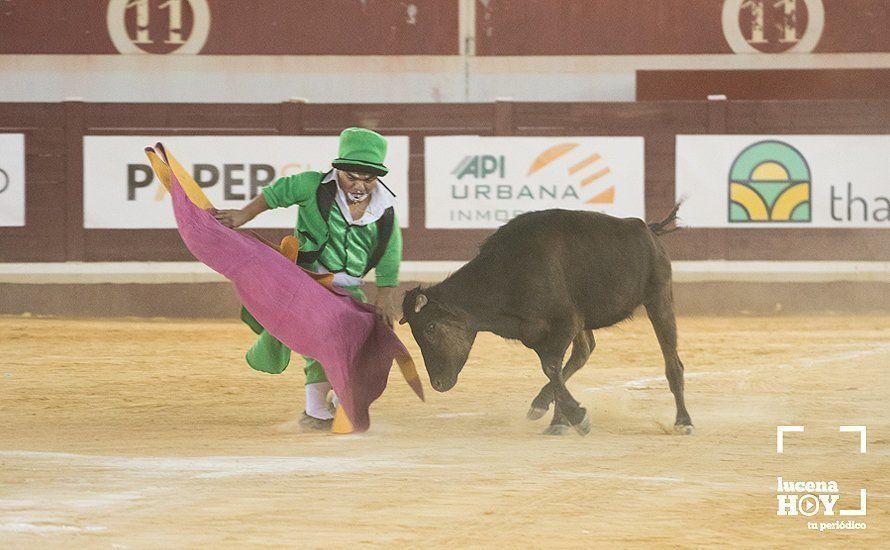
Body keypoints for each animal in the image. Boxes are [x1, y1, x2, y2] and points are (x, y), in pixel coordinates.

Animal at [398, 205, 692, 438]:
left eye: (430, 327)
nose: (437, 383)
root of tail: (648, 230)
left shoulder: (565, 323)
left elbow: (551, 367)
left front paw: (577, 418)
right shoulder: (538, 333)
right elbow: (555, 370)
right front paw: (559, 419)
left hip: (659, 297)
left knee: (673, 363)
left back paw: (683, 421)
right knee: (583, 352)